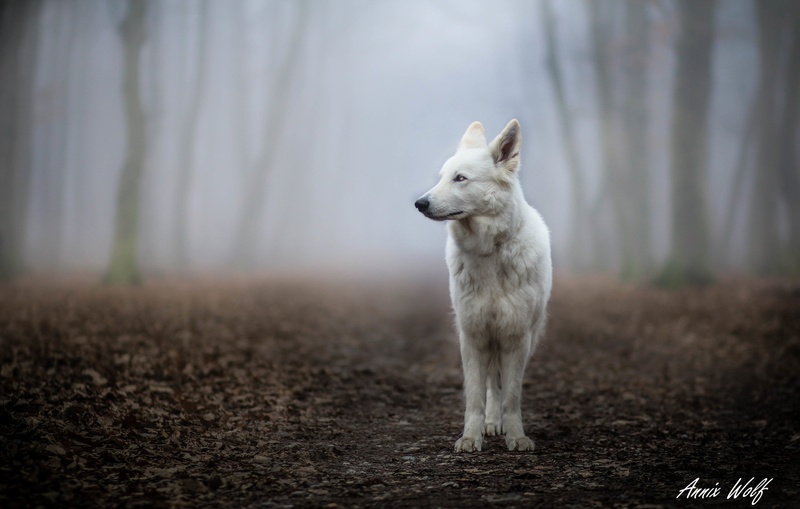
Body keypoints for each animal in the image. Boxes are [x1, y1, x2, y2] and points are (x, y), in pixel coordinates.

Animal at [415, 119, 552, 452]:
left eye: (460, 178)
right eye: (441, 177)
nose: (419, 203)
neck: (490, 252)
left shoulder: (516, 337)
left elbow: (512, 396)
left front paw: (516, 436)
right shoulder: (473, 336)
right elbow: (475, 396)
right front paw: (471, 437)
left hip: (526, 336)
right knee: (491, 382)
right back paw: (491, 423)